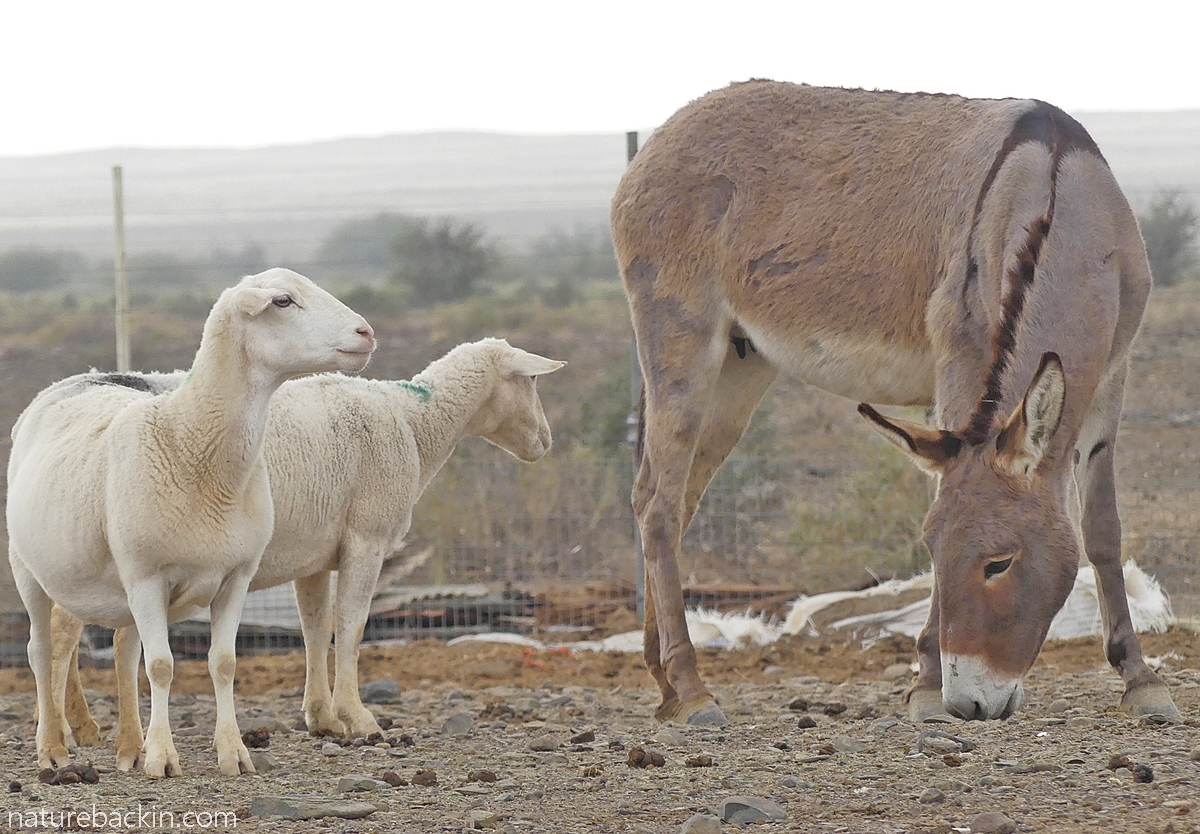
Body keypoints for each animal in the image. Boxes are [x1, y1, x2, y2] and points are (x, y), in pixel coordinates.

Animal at [6, 268, 375, 778]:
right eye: (282, 301)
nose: (366, 333)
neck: (189, 439)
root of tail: (72, 381)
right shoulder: (146, 576)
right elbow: (161, 666)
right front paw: (163, 757)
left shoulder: (236, 576)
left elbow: (223, 663)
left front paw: (232, 752)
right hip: (29, 568)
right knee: (41, 650)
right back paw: (53, 749)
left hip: (118, 581)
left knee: (123, 651)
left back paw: (129, 746)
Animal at [49, 337, 564, 765]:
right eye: (532, 379)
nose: (545, 441)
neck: (415, 422)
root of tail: (60, 390)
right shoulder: (367, 538)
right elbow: (352, 625)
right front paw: (359, 719)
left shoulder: (313, 555)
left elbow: (315, 628)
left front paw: (322, 717)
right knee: (61, 633)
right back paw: (68, 733)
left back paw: (98, 732)